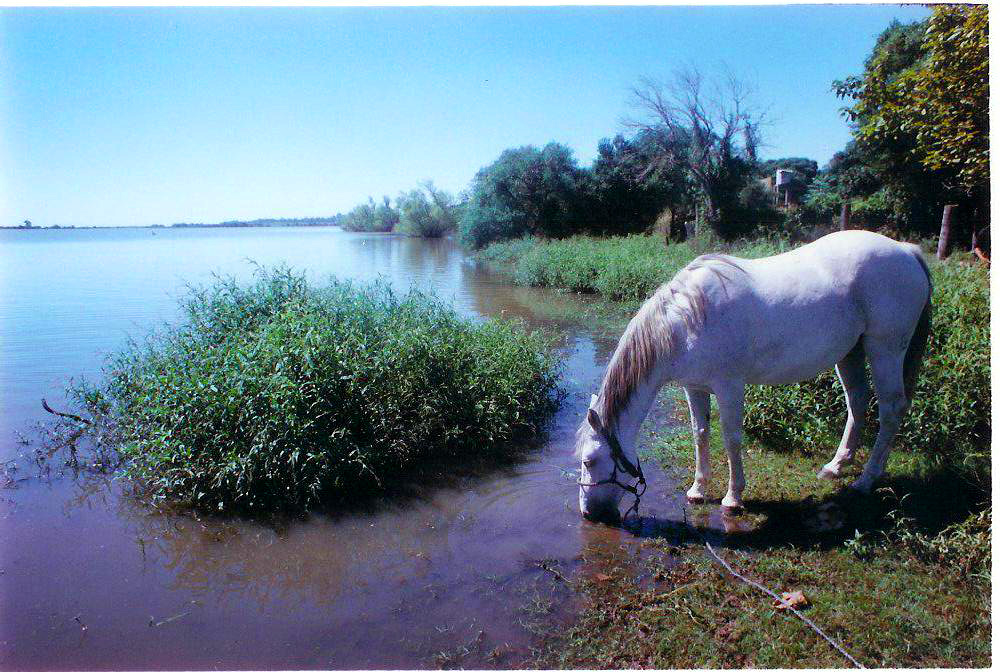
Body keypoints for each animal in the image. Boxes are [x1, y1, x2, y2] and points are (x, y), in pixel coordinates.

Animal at [576, 231, 932, 524]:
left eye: (590, 461)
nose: (589, 513)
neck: (687, 320)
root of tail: (905, 249)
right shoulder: (695, 387)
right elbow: (700, 434)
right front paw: (698, 490)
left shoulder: (729, 387)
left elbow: (731, 439)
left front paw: (733, 498)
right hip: (851, 353)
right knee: (857, 403)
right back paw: (835, 467)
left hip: (885, 349)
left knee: (891, 410)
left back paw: (867, 478)